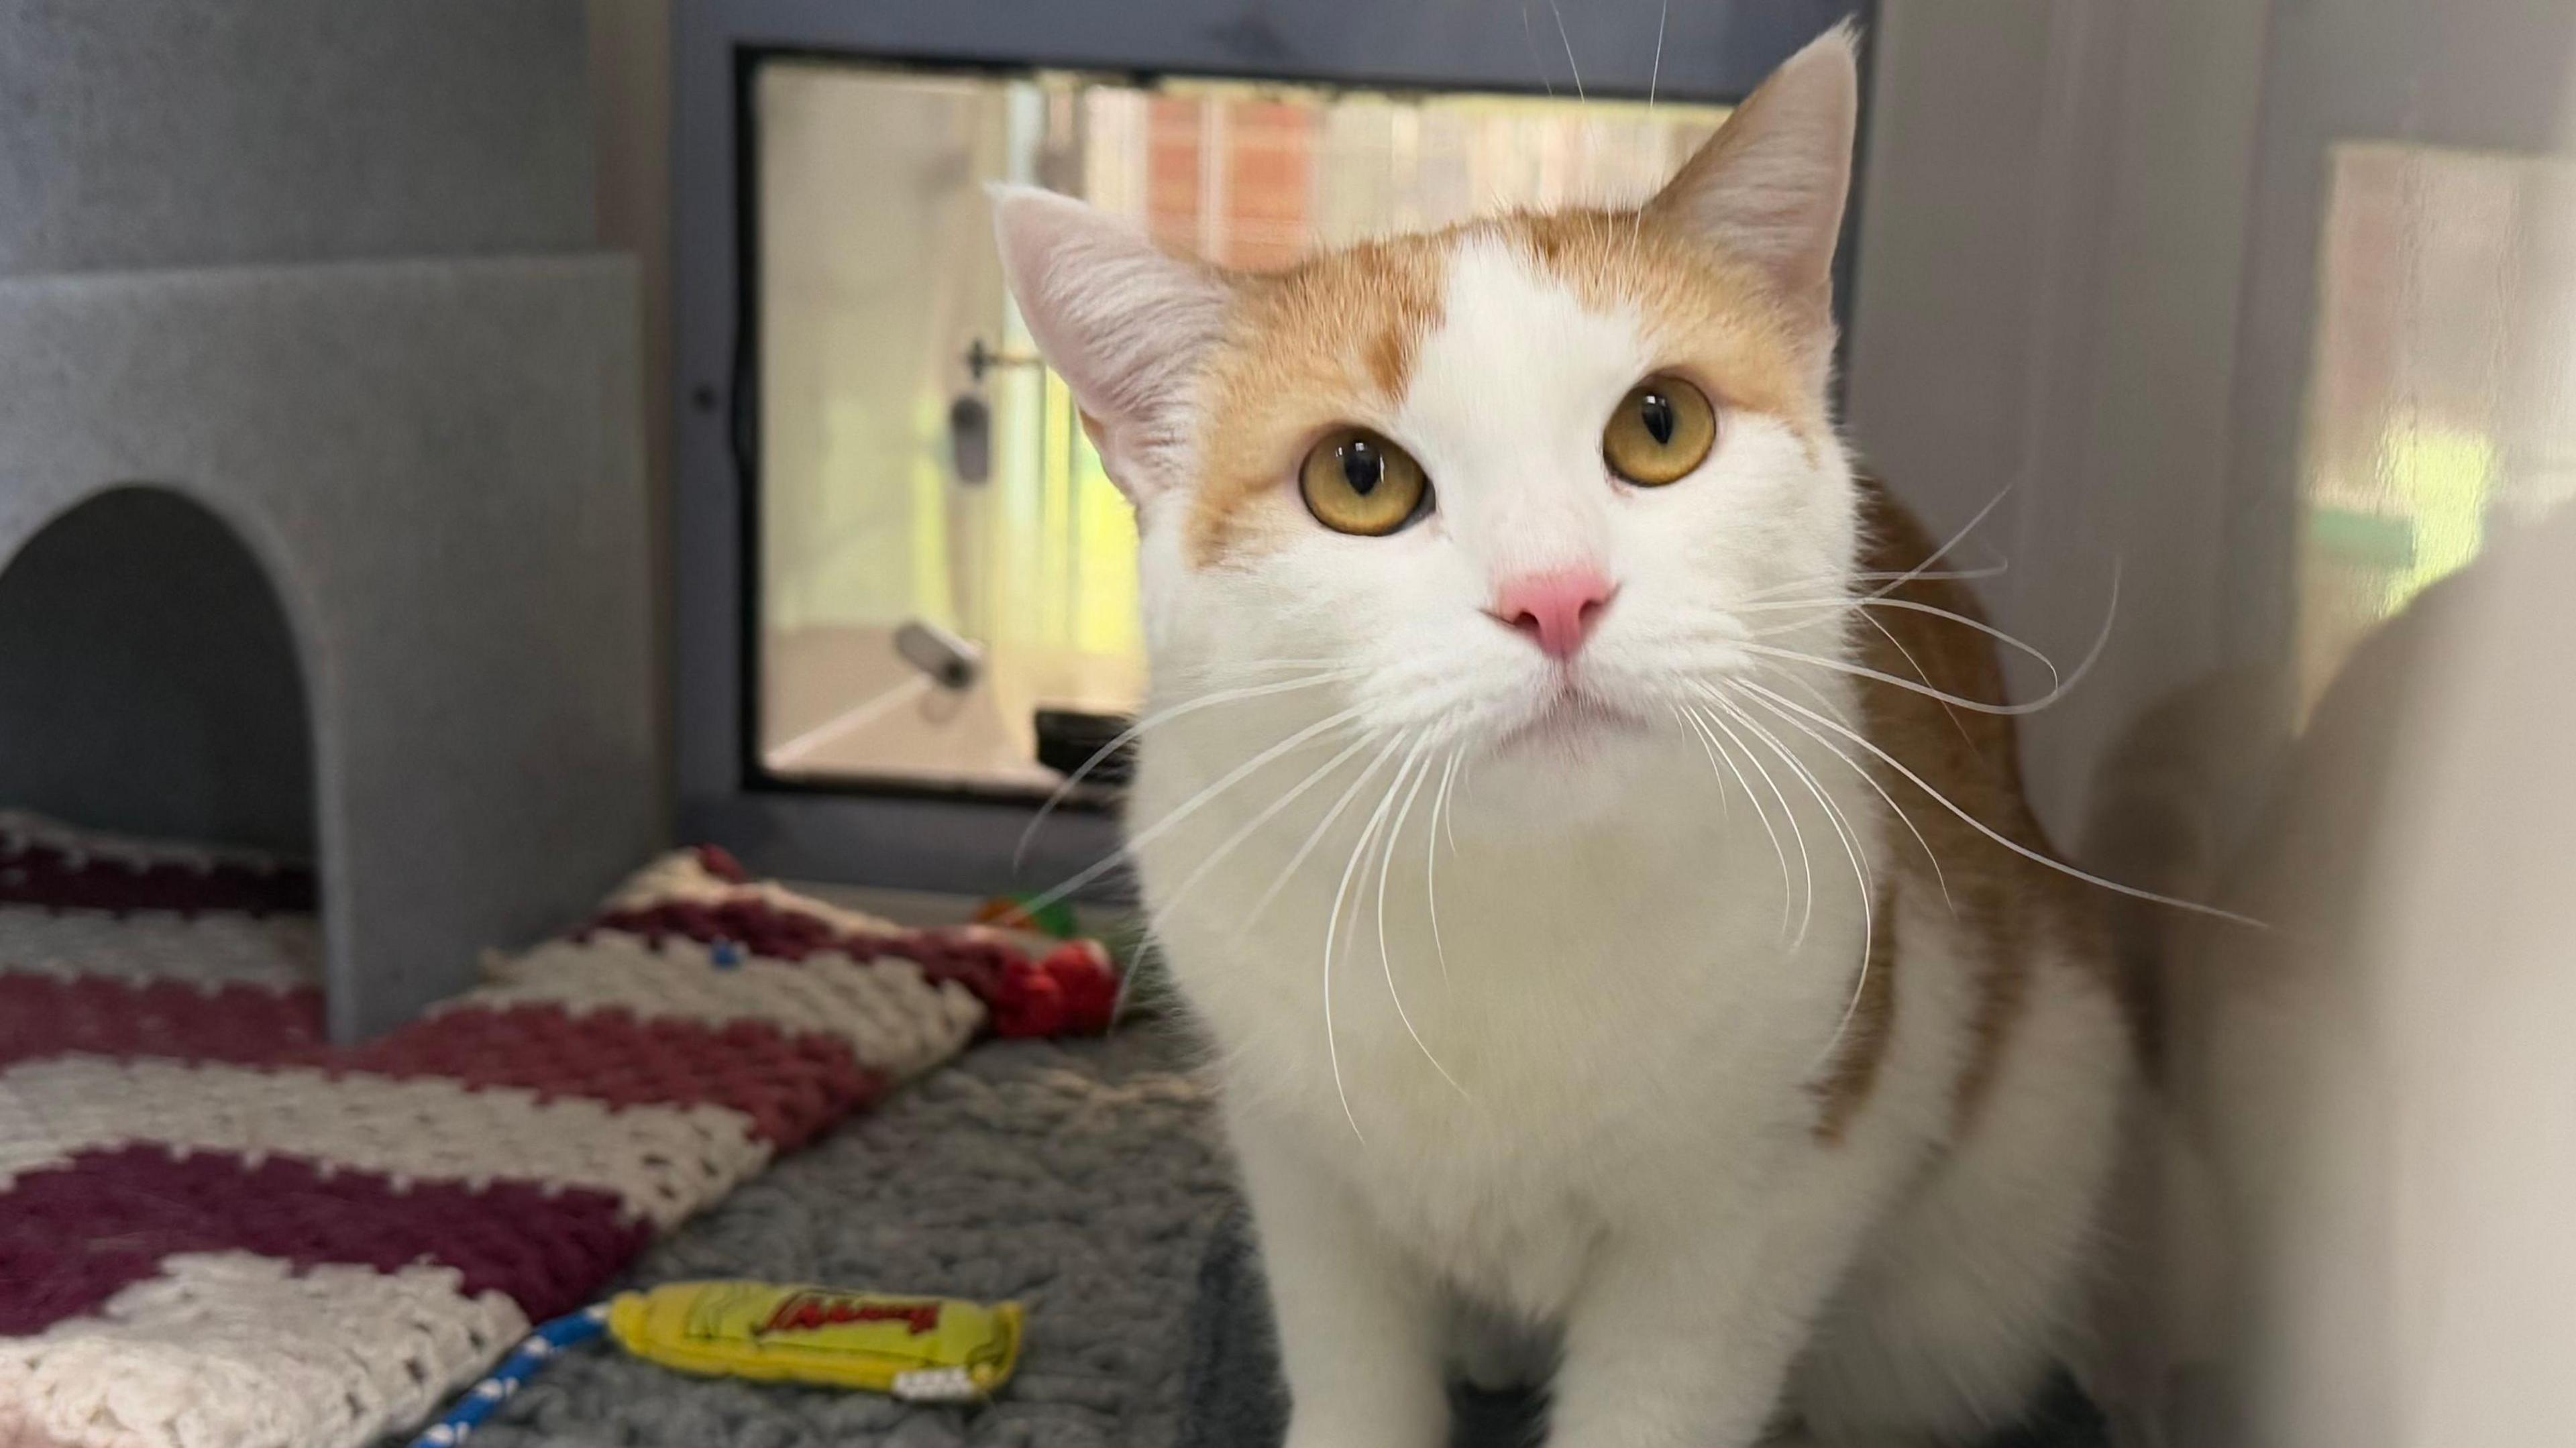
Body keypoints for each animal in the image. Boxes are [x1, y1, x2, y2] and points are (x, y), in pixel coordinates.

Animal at [983, 25, 2133, 1443]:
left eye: (1661, 425)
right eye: (1357, 477)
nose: (1557, 595)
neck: (1509, 903)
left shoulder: (1748, 1208)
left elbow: (1665, 1388)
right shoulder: (1299, 1158)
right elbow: (1352, 1353)